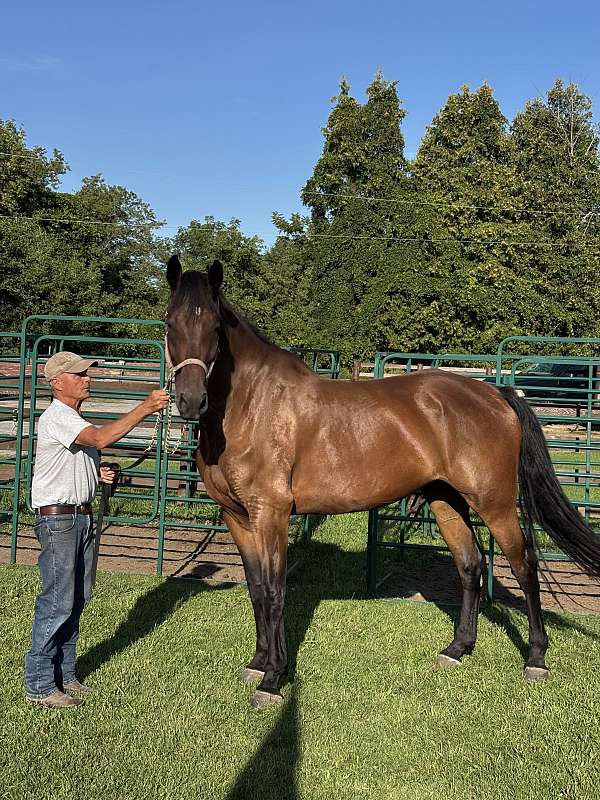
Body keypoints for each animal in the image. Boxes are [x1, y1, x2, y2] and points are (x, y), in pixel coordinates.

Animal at [164, 254, 600, 710]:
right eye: (169, 322)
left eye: (215, 326)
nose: (191, 401)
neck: (253, 405)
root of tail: (495, 393)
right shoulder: (237, 517)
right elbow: (254, 590)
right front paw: (257, 663)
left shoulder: (272, 515)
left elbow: (274, 591)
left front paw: (272, 679)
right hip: (445, 500)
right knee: (470, 564)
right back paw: (457, 649)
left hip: (493, 502)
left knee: (524, 565)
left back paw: (536, 658)